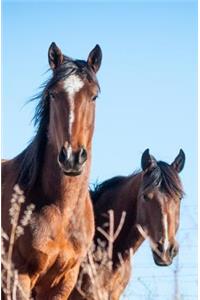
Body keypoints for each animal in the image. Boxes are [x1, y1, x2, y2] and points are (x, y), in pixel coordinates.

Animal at [2, 42, 103, 300]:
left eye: (94, 96)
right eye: (53, 94)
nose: (72, 158)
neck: (61, 210)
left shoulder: (63, 282)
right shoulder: (18, 277)